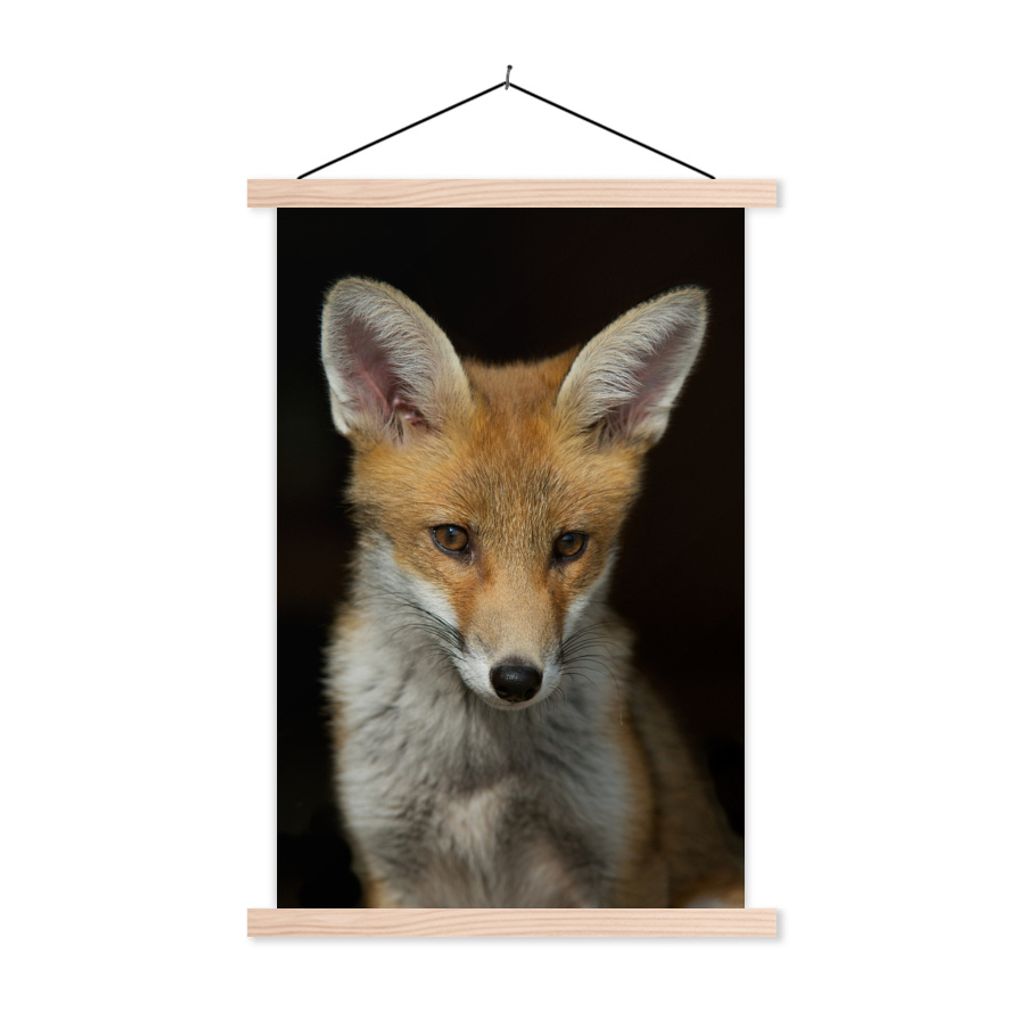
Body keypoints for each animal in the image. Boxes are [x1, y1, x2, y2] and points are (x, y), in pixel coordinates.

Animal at [319, 277, 743, 908]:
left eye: (569, 544)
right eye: (452, 538)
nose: (517, 680)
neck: (478, 772)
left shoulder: (621, 866)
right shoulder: (389, 868)